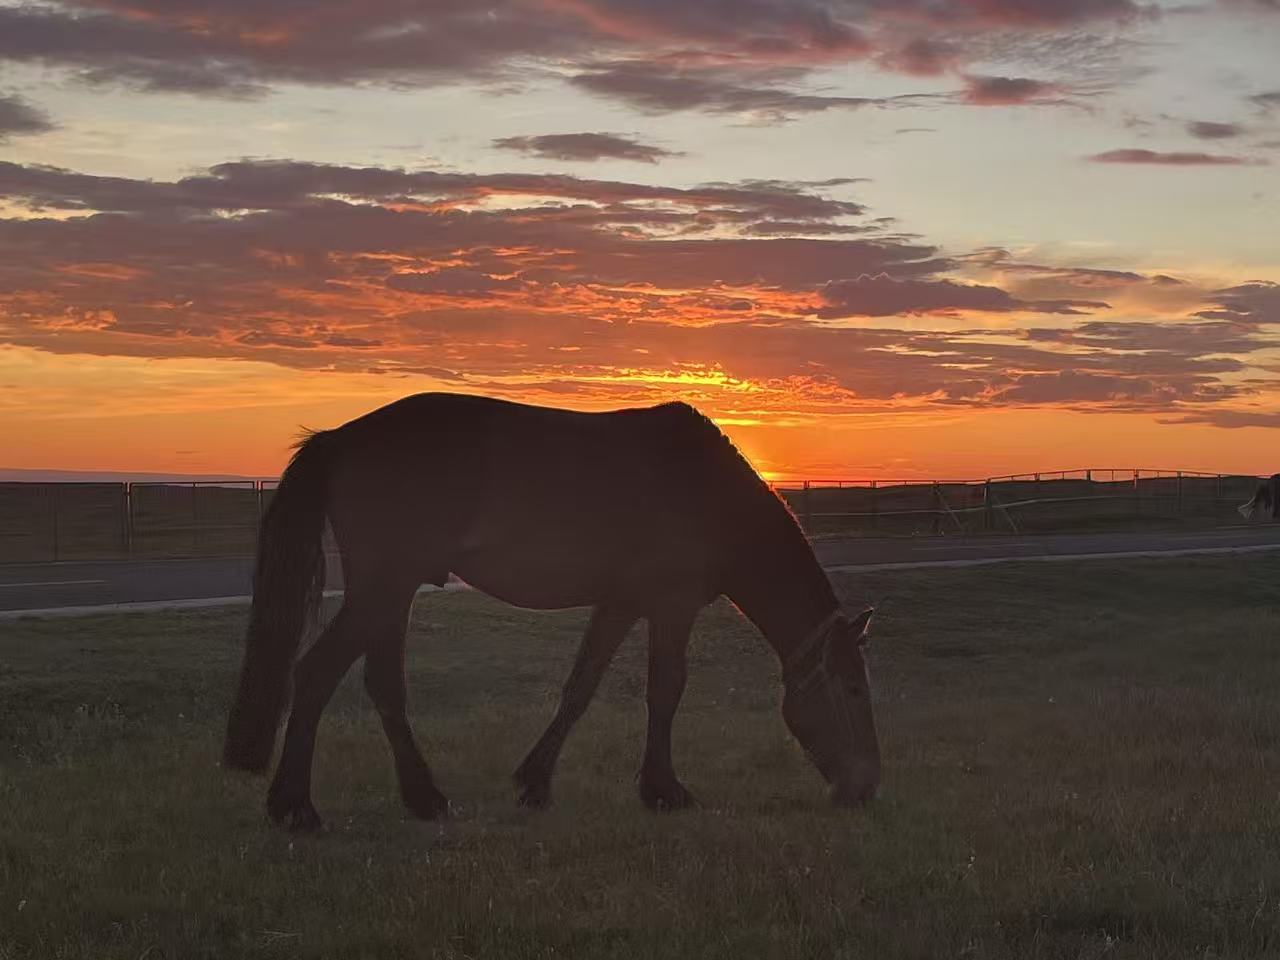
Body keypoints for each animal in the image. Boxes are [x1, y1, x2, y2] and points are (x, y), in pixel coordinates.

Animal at [222, 393, 880, 831]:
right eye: (851, 689)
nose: (865, 788)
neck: (708, 495)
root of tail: (339, 438)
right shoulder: (670, 607)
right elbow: (666, 689)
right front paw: (664, 790)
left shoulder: (620, 604)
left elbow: (580, 687)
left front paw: (535, 782)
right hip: (382, 590)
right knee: (316, 674)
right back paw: (295, 806)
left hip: (390, 594)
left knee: (381, 685)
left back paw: (422, 798)